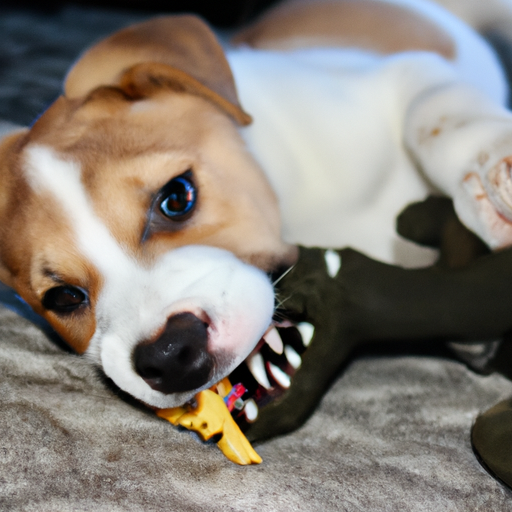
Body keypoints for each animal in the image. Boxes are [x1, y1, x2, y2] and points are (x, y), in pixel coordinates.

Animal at [2, 0, 512, 416]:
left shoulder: (395, 75)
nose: (171, 355)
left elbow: (434, 110)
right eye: (64, 298)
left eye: (177, 197)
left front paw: (490, 169)